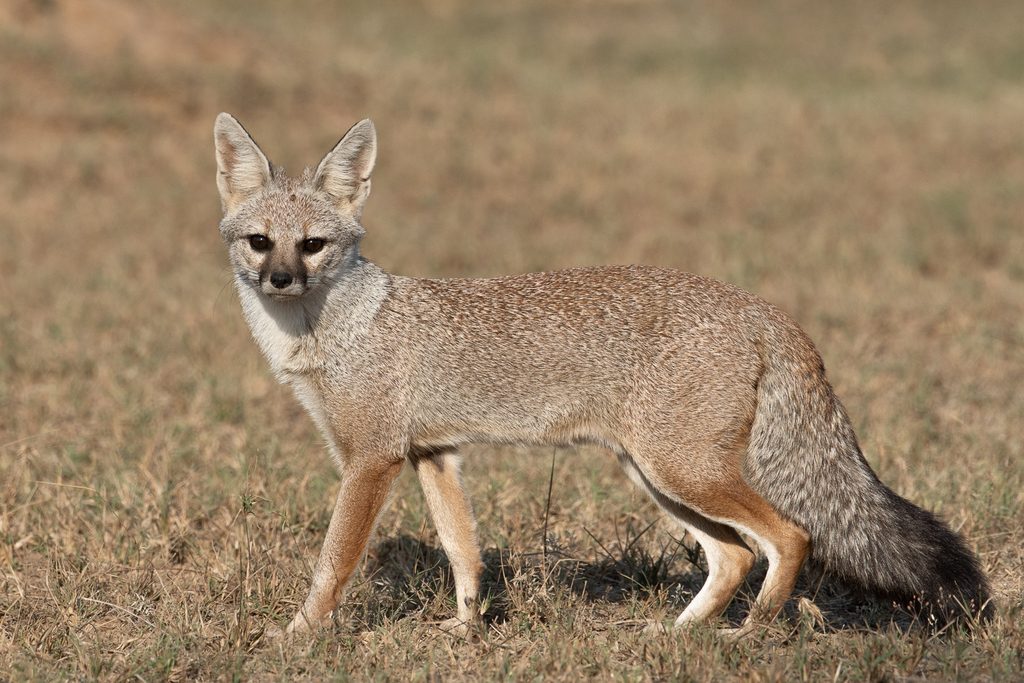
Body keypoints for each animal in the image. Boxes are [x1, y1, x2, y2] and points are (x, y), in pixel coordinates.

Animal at [213, 112, 991, 638]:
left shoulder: (371, 461)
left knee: (789, 536)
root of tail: (760, 306)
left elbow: (333, 562)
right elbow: (464, 553)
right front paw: (466, 631)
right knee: (734, 556)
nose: (279, 279)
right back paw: (681, 634)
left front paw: (298, 635)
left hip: (682, 470)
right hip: (657, 475)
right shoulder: (434, 455)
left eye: (314, 246)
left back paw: (750, 632)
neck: (335, 329)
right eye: (260, 241)